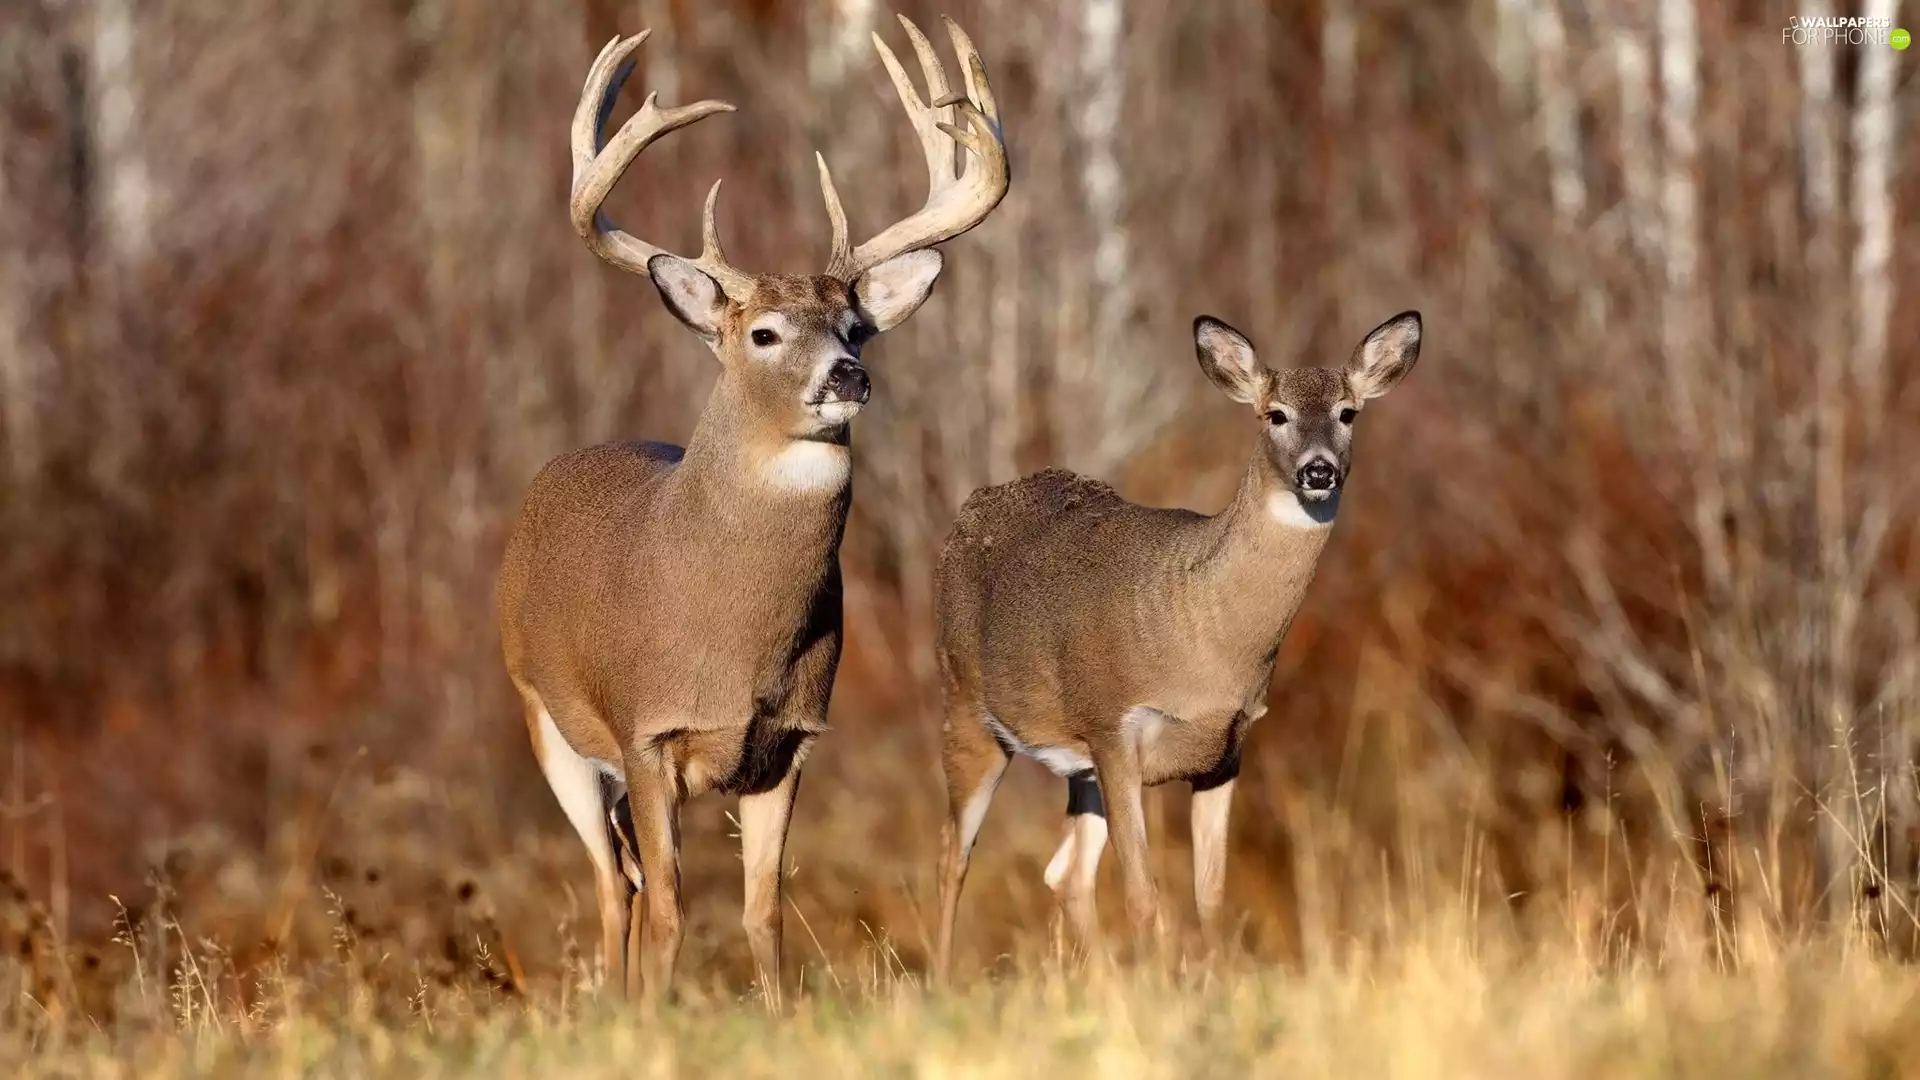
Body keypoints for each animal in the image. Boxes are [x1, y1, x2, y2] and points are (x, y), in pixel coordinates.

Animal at [496, 15, 1008, 1006]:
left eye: (855, 327)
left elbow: (762, 911)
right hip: (547, 721)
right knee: (613, 885)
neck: (734, 642)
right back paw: (614, 1005)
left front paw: (773, 1017)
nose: (847, 377)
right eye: (764, 334)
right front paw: (655, 1018)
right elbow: (669, 908)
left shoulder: (791, 742)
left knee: (621, 876)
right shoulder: (647, 731)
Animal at [929, 310, 1422, 980]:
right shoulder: (1115, 729)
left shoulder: (1226, 751)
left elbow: (1208, 894)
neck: (1205, 640)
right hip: (967, 706)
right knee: (953, 853)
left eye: (1348, 412)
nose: (1318, 470)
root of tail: (969, 510)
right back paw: (940, 980)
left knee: (1066, 873)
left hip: (1078, 766)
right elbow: (1143, 894)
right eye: (1276, 414)